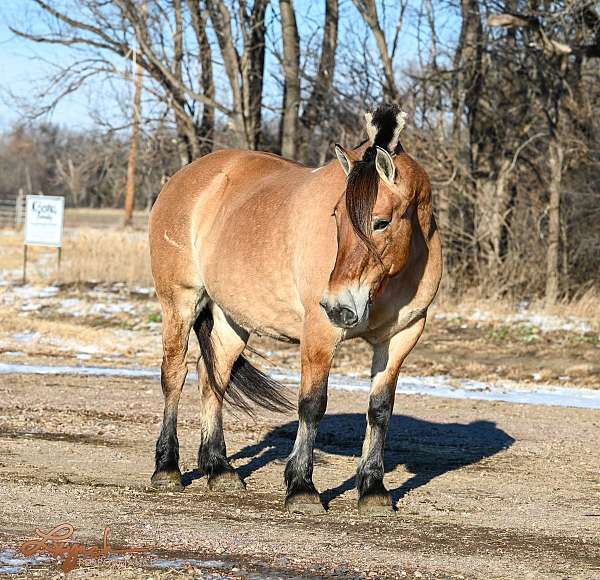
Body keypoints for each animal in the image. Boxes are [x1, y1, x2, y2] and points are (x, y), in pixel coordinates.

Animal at [148, 102, 442, 516]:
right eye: (336, 217)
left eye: (381, 222)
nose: (340, 305)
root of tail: (185, 178)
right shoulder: (320, 331)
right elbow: (312, 404)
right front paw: (302, 487)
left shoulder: (401, 338)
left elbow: (380, 409)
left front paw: (373, 489)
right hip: (179, 302)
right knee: (173, 377)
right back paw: (167, 469)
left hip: (232, 320)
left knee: (213, 379)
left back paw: (220, 469)